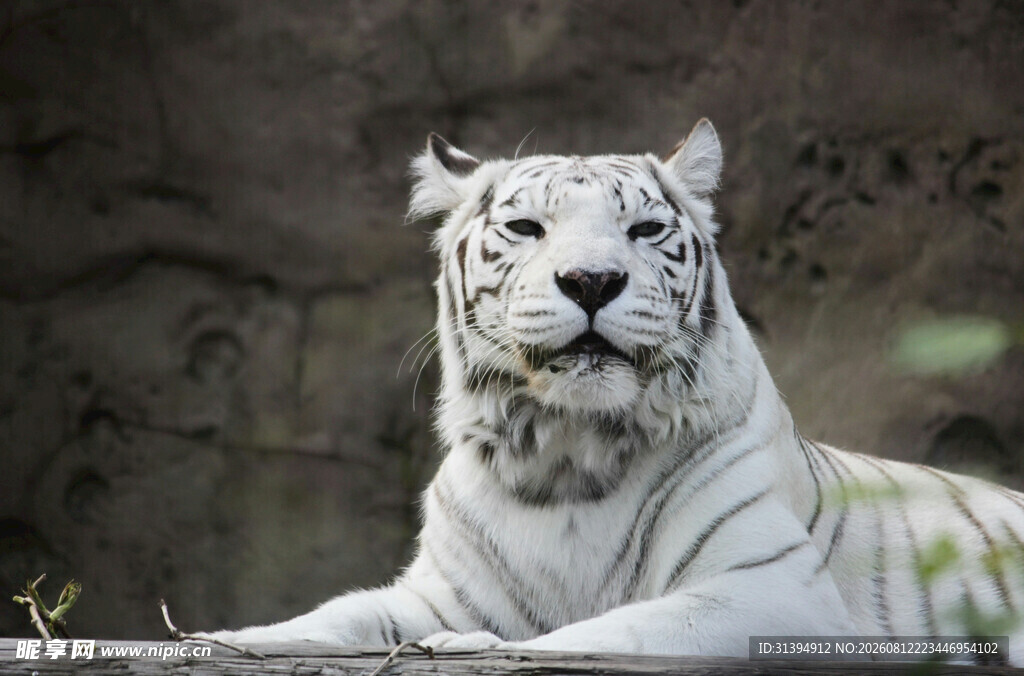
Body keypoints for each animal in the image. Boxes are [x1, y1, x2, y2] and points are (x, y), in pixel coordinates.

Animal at [202, 120, 1024, 663]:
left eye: (646, 230)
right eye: (526, 228)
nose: (592, 280)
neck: (565, 450)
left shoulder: (770, 589)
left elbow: (595, 630)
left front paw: (470, 647)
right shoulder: (436, 590)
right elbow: (336, 614)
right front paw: (222, 637)